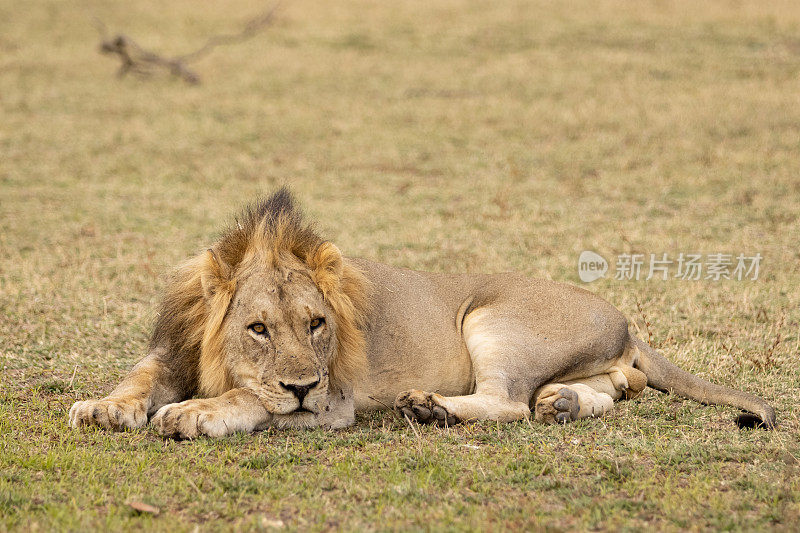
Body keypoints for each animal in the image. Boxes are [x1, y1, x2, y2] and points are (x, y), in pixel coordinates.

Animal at [69, 188, 776, 436]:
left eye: (317, 324)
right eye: (258, 329)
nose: (302, 386)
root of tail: (625, 318)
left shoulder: (335, 400)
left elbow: (250, 399)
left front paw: (195, 411)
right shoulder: (171, 349)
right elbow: (138, 379)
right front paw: (105, 407)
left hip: (492, 320)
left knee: (507, 403)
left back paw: (432, 408)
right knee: (611, 390)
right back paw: (564, 403)